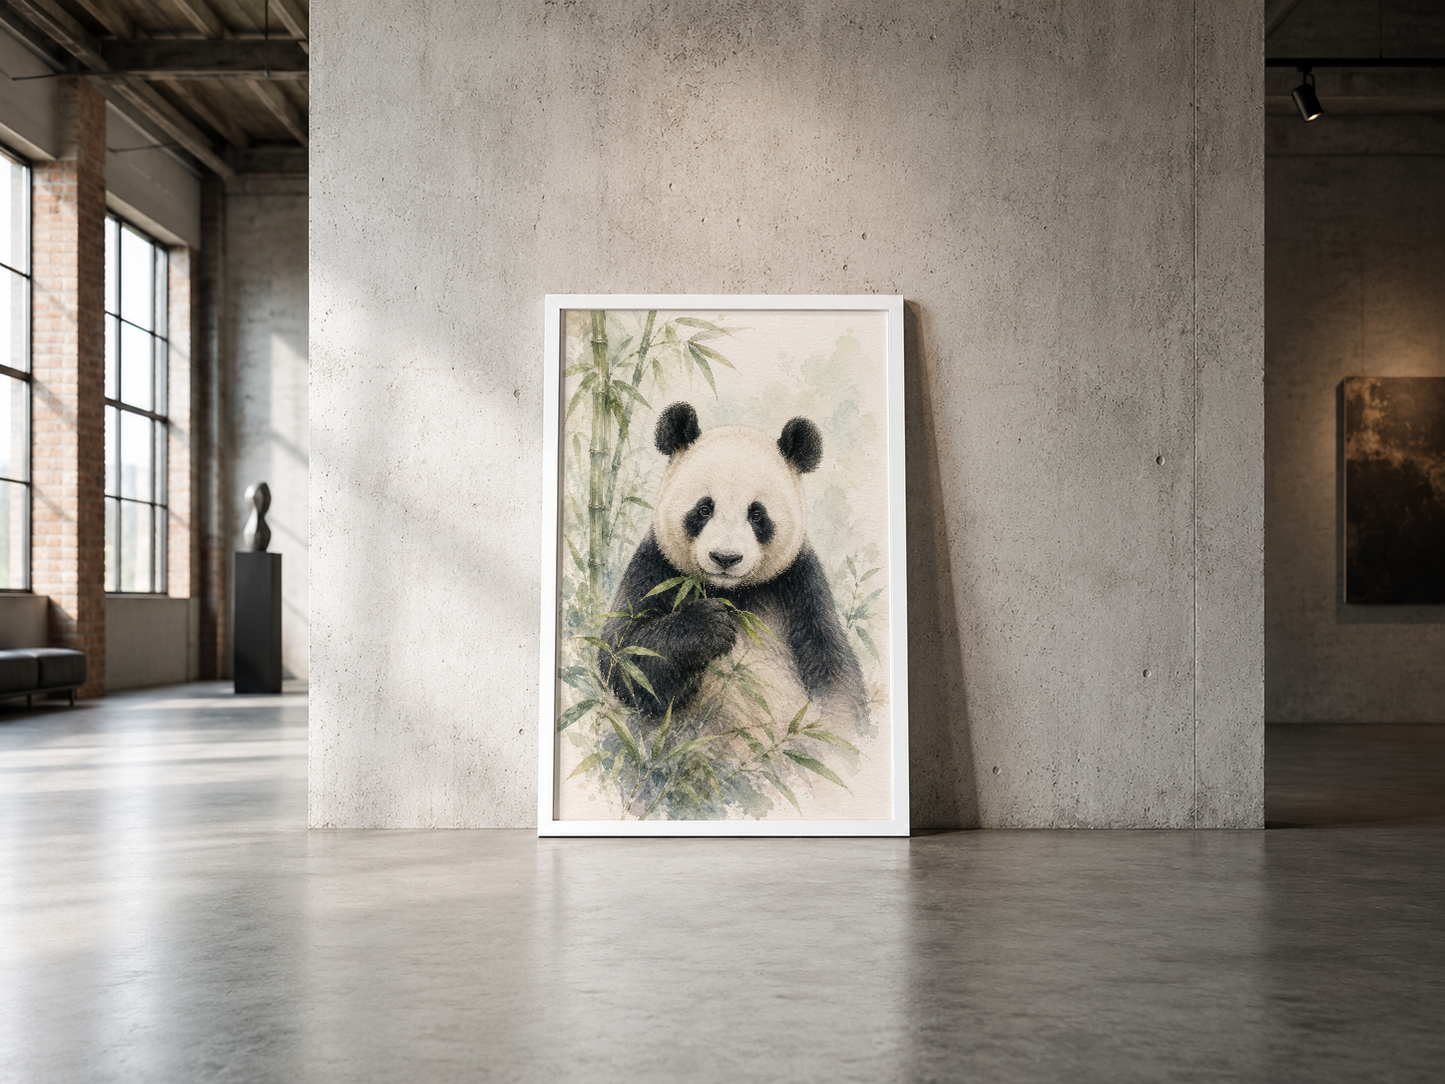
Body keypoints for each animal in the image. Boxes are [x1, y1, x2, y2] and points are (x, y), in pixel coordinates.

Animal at [600, 401, 869, 736]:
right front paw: (708, 624)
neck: (732, 592)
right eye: (704, 509)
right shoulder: (657, 566)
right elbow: (626, 656)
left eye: (757, 515)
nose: (725, 558)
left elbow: (833, 670)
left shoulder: (798, 583)